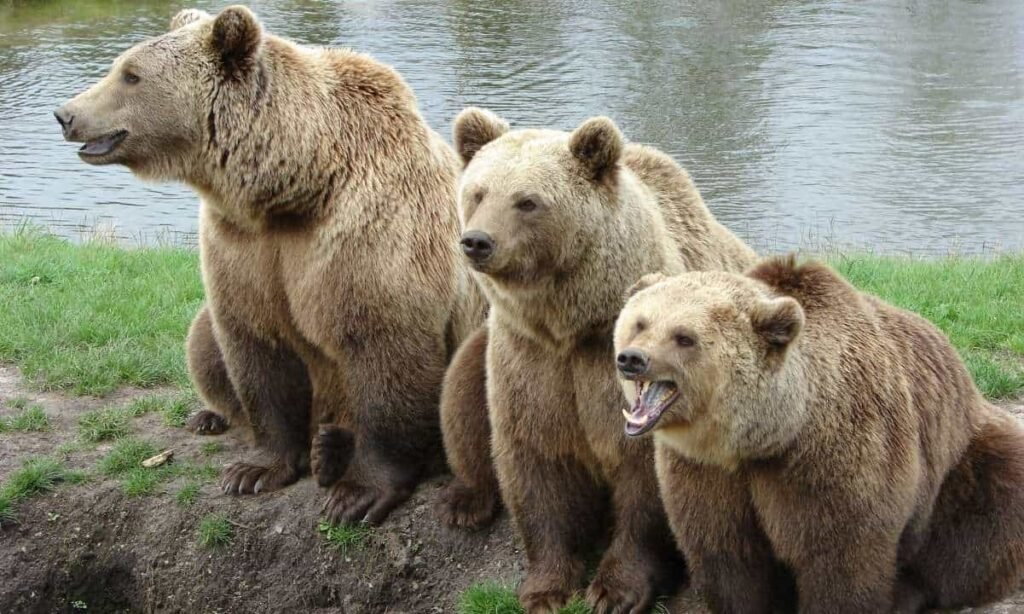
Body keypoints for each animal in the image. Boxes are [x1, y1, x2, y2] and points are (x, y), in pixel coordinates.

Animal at [55, 5, 485, 524]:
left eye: (131, 74)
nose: (65, 114)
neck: (294, 187)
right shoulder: (243, 247)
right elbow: (255, 347)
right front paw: (254, 470)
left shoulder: (370, 236)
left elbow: (384, 348)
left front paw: (357, 493)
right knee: (202, 339)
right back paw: (223, 419)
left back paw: (333, 449)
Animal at [446, 106, 757, 612]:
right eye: (477, 192)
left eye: (527, 201)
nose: (477, 241)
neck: (572, 325)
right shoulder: (530, 359)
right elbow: (537, 463)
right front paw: (546, 588)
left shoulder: (618, 371)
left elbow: (644, 480)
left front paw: (616, 590)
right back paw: (465, 502)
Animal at [613, 257, 1024, 613]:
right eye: (640, 323)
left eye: (684, 337)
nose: (632, 358)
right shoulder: (705, 471)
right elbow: (728, 553)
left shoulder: (835, 454)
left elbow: (841, 555)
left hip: (960, 458)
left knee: (981, 521)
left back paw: (907, 593)